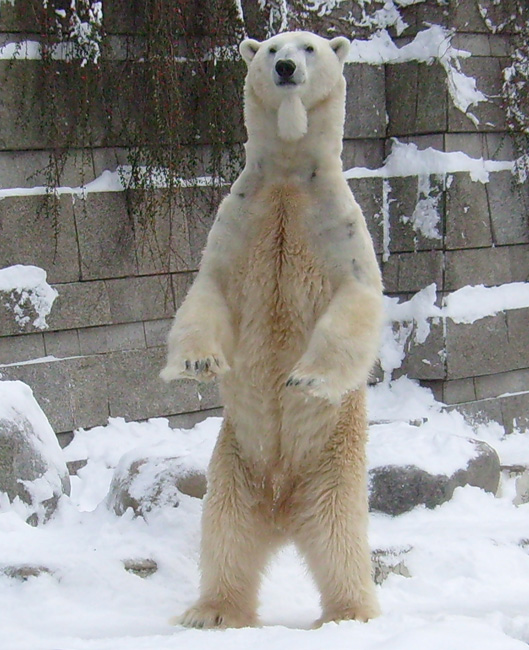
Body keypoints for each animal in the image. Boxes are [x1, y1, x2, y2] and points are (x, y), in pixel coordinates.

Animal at [159, 31, 382, 628]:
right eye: (270, 48)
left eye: (308, 47)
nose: (283, 67)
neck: (287, 173)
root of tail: (281, 509)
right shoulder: (239, 220)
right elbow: (207, 292)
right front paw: (196, 363)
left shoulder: (338, 225)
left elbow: (356, 300)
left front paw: (305, 378)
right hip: (233, 465)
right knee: (225, 537)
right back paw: (211, 612)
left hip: (333, 467)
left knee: (340, 540)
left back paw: (350, 614)